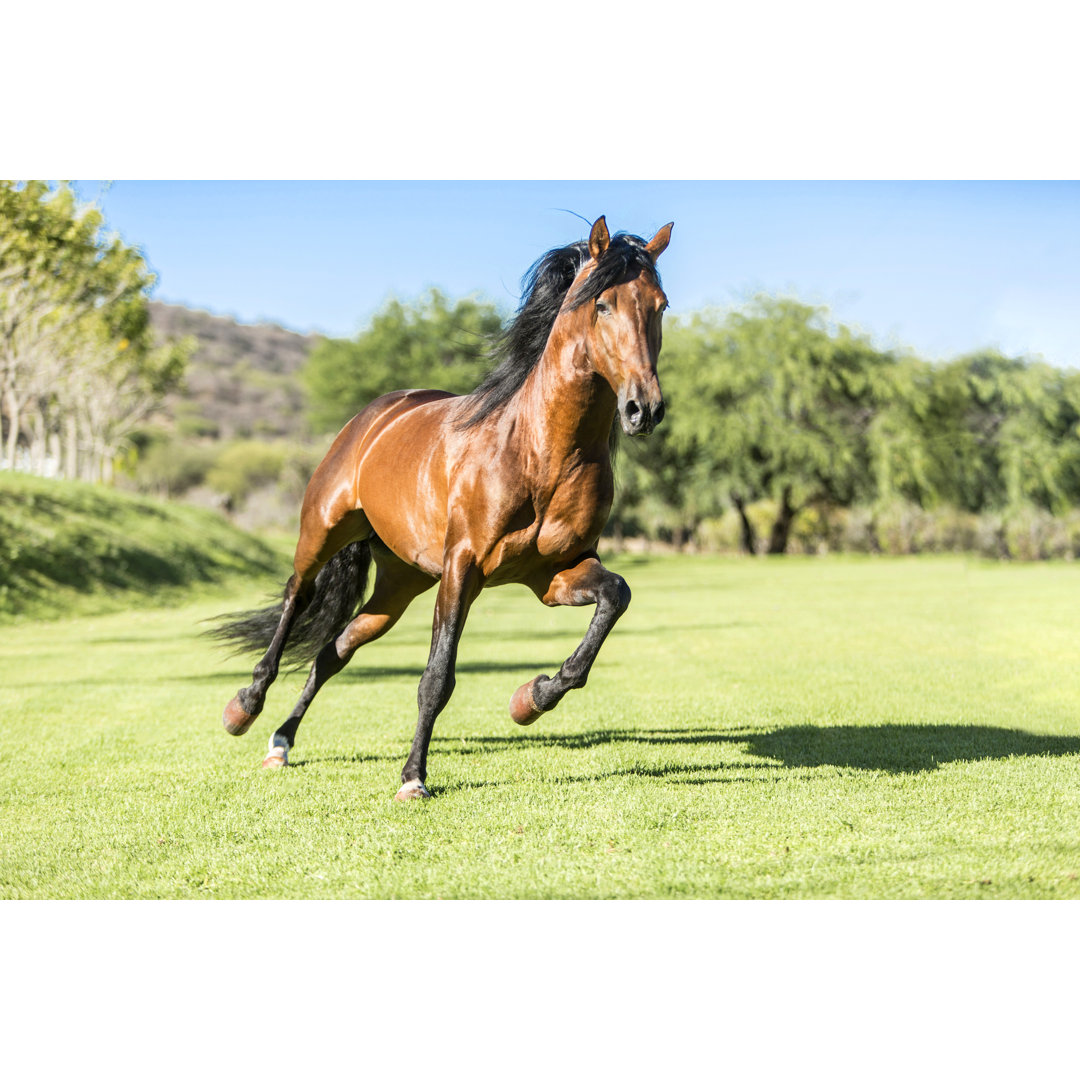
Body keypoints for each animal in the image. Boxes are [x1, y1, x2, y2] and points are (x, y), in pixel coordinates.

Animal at [213, 214, 669, 799]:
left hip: (398, 583)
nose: (643, 409)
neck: (537, 452)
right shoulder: (463, 567)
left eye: (660, 305)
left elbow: (615, 598)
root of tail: (378, 413)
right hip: (323, 532)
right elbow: (437, 678)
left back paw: (281, 743)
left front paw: (531, 699)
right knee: (297, 597)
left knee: (333, 651)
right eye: (604, 304)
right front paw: (413, 778)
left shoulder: (554, 574)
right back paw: (244, 709)